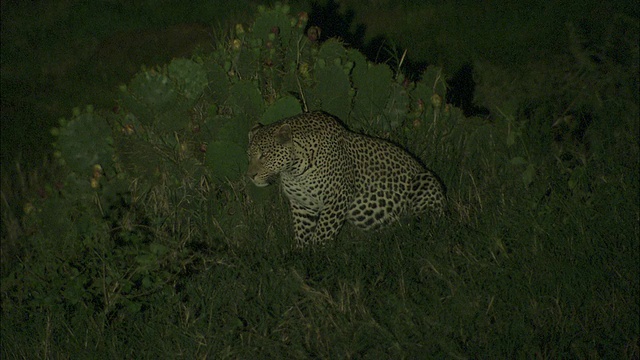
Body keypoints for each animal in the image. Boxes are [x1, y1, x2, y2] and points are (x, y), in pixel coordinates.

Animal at [245, 112, 444, 248]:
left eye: (264, 155)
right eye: (249, 155)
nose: (250, 175)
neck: (293, 171)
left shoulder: (336, 199)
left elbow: (322, 234)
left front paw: (318, 256)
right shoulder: (302, 206)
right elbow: (302, 235)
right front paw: (301, 257)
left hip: (425, 182)